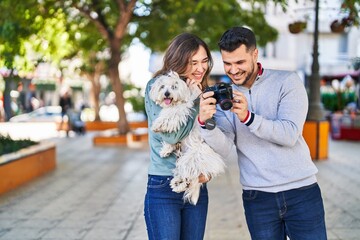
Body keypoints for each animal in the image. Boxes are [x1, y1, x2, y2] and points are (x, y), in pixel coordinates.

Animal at [149, 71, 225, 204]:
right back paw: (177, 183)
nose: (166, 93)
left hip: (191, 159)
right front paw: (166, 150)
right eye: (162, 87)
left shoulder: (181, 111)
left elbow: (170, 116)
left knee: (189, 176)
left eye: (174, 87)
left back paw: (179, 184)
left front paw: (158, 125)